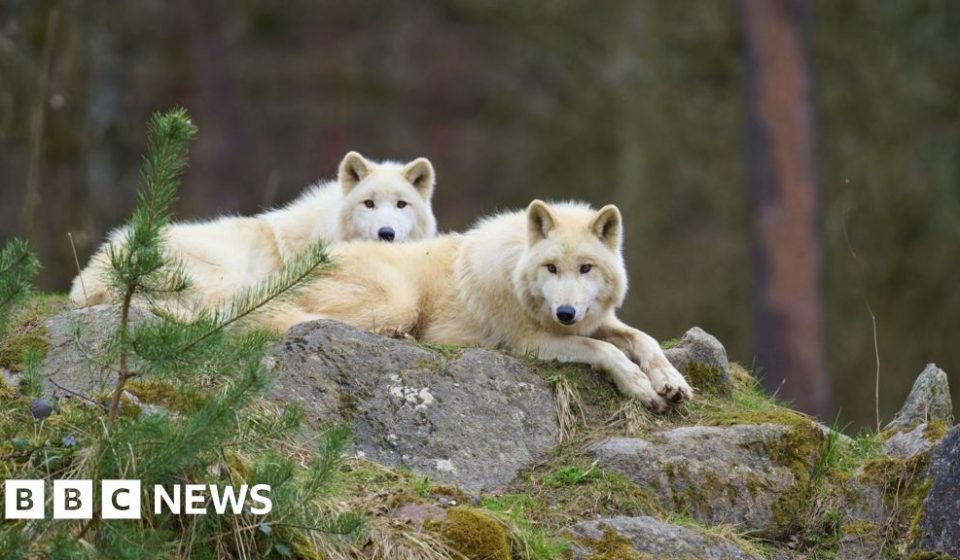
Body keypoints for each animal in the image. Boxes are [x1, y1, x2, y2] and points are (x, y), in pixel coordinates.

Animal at [262, 199, 693, 411]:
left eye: (585, 268)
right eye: (551, 268)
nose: (565, 313)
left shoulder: (593, 321)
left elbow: (644, 340)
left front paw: (671, 380)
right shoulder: (530, 342)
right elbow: (603, 350)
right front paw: (639, 385)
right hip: (397, 301)